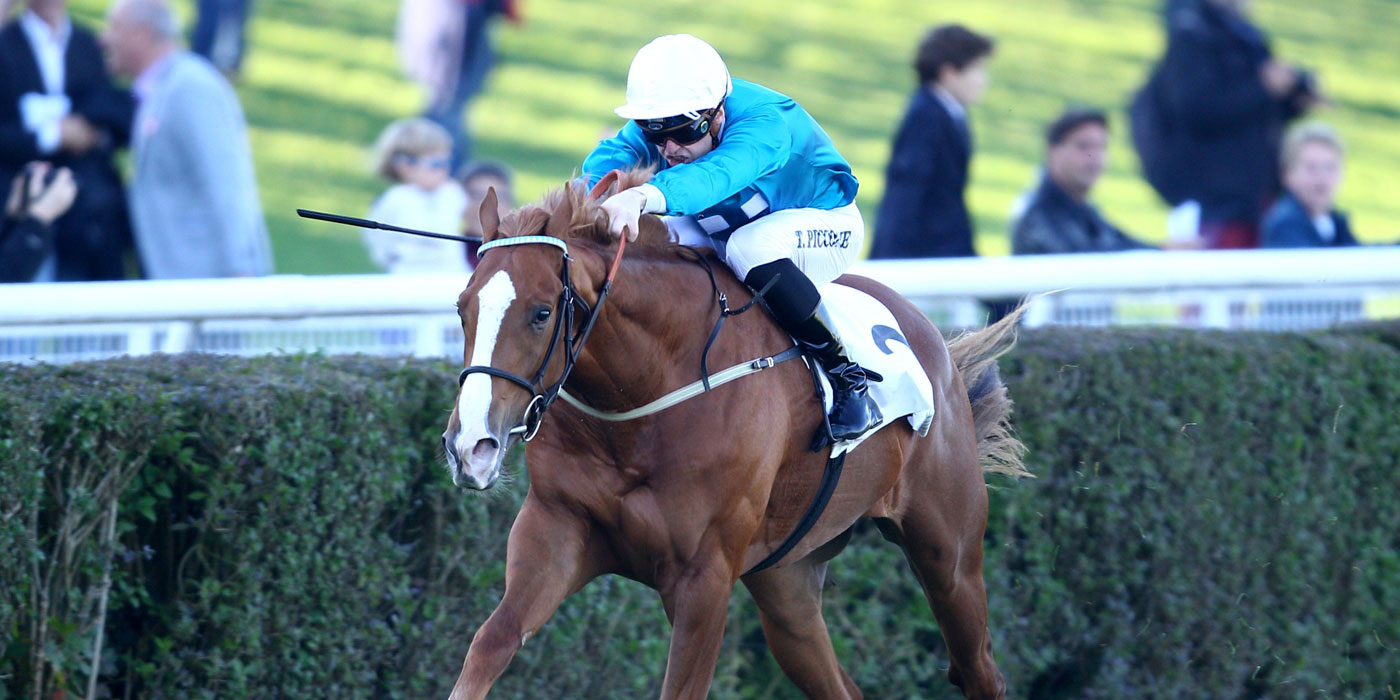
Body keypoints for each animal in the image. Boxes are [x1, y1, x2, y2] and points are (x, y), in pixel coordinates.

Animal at [442, 173, 1036, 700]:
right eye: (462, 306)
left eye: (542, 313)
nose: (470, 447)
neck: (641, 399)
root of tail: (933, 337)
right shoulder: (556, 527)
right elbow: (490, 645)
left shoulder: (703, 575)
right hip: (787, 581)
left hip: (949, 553)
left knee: (980, 669)